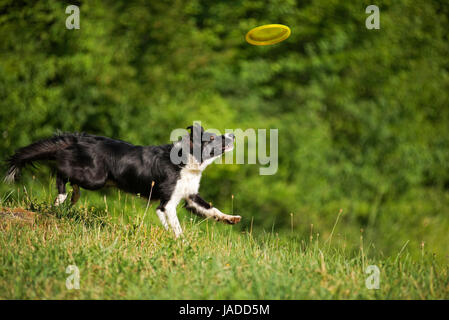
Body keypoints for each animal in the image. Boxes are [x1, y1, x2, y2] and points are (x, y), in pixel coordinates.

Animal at [4, 124, 242, 236]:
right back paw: (62, 197)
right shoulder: (167, 202)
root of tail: (79, 138)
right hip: (95, 177)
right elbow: (176, 225)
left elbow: (211, 210)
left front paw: (231, 218)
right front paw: (182, 242)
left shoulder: (190, 197)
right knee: (61, 169)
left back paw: (73, 197)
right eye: (212, 138)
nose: (233, 135)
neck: (187, 161)